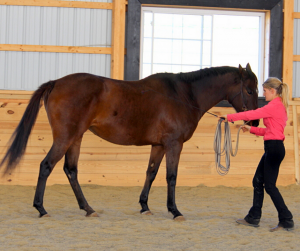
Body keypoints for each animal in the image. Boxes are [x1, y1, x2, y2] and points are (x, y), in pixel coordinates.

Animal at [0, 63, 258, 221]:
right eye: (249, 89)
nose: (255, 121)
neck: (184, 95)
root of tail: (56, 82)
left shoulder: (159, 145)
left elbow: (151, 173)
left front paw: (144, 206)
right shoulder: (174, 144)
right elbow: (171, 177)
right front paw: (175, 211)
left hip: (76, 138)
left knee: (70, 170)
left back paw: (88, 209)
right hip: (65, 137)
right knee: (46, 166)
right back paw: (41, 208)